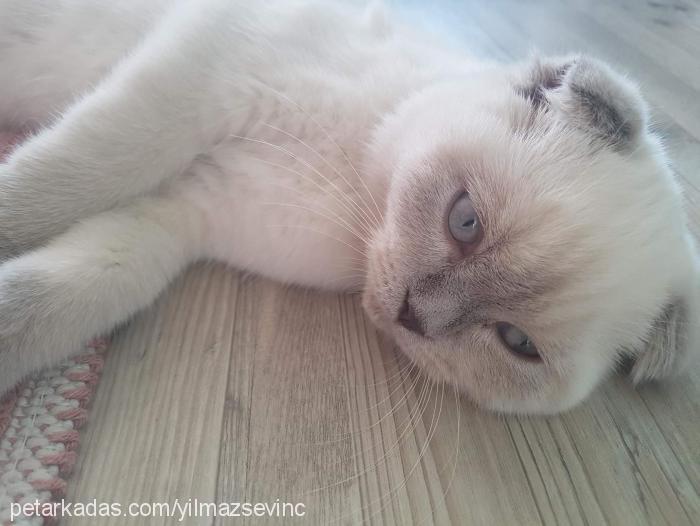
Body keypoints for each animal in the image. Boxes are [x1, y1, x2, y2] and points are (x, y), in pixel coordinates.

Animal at [0, 0, 696, 416]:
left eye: (516, 341)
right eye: (465, 222)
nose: (414, 315)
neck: (357, 186)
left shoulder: (183, 213)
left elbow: (56, 294)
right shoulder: (192, 84)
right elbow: (55, 180)